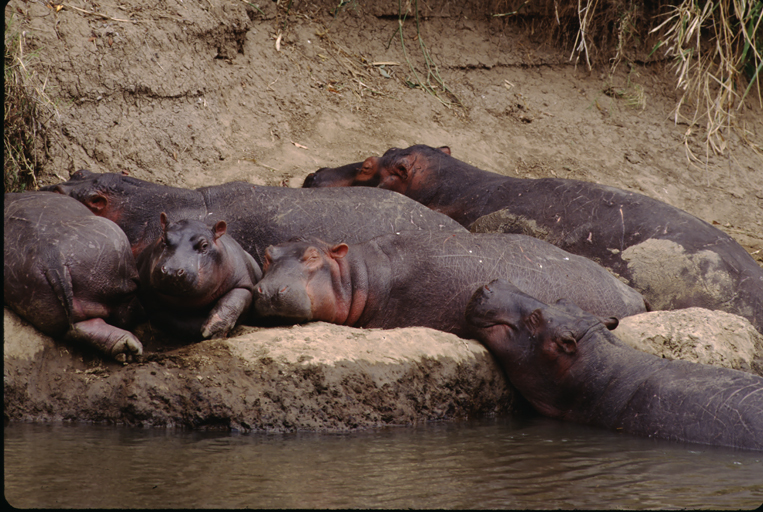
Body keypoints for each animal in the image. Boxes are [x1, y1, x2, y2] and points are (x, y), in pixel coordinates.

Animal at [4, 190, 143, 362]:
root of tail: (53, 259)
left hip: (36, 299)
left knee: (80, 327)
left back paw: (127, 348)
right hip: (114, 247)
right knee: (125, 309)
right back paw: (131, 348)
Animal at [134, 212, 260, 340]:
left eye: (204, 245)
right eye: (163, 239)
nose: (171, 271)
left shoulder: (243, 283)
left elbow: (233, 301)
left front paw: (213, 330)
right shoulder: (149, 298)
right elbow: (179, 323)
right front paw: (202, 329)